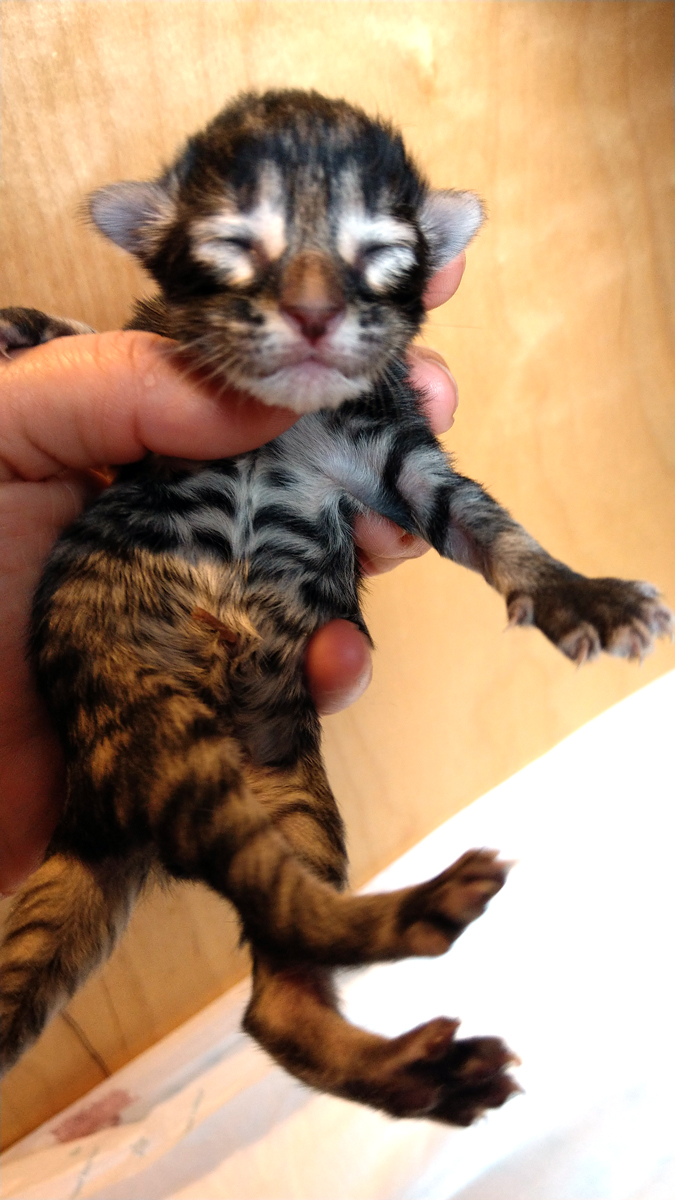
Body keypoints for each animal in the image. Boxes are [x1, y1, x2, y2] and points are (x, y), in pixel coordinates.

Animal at [1, 90, 671, 1126]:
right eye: (235, 242)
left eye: (380, 253)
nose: (314, 313)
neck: (296, 420)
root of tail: (91, 797)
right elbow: (100, 336)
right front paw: (21, 326)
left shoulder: (400, 458)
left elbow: (492, 530)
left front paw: (580, 596)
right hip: (147, 697)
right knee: (277, 912)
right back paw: (428, 921)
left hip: (283, 778)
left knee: (277, 981)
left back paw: (423, 1060)